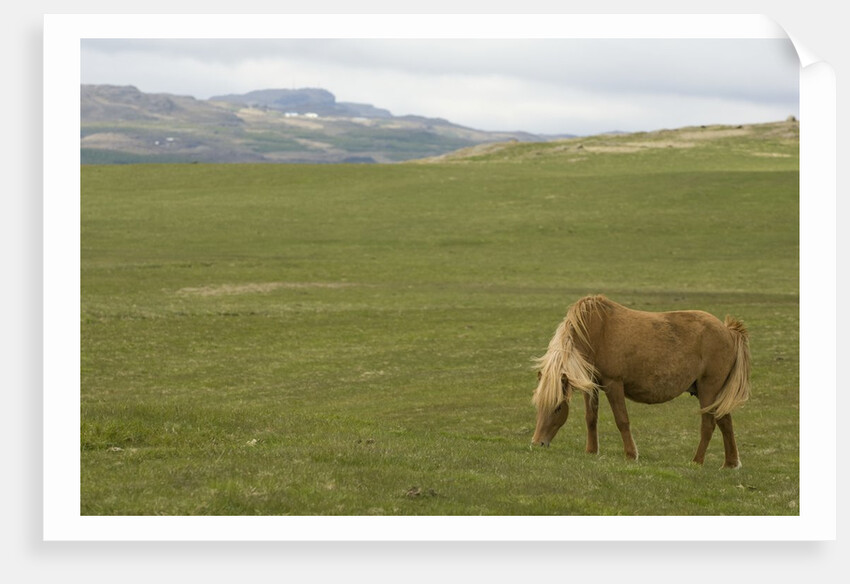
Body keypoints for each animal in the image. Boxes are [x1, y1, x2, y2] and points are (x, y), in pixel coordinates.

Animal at [531, 295, 750, 468]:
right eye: (539, 406)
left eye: (558, 407)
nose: (537, 443)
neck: (594, 333)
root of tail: (728, 331)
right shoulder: (591, 385)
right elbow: (590, 418)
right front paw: (591, 451)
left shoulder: (613, 383)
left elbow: (622, 420)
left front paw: (631, 455)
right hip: (714, 392)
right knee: (725, 422)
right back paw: (730, 463)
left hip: (708, 390)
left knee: (709, 425)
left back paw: (697, 461)